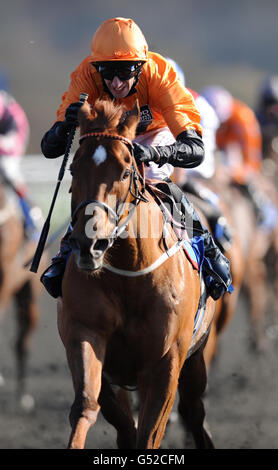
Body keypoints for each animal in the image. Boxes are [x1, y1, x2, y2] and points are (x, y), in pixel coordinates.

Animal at [57, 100, 216, 452]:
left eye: (126, 171)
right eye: (74, 169)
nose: (89, 243)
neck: (128, 275)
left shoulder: (166, 362)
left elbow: (150, 432)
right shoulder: (85, 333)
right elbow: (89, 406)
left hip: (195, 357)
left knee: (194, 411)